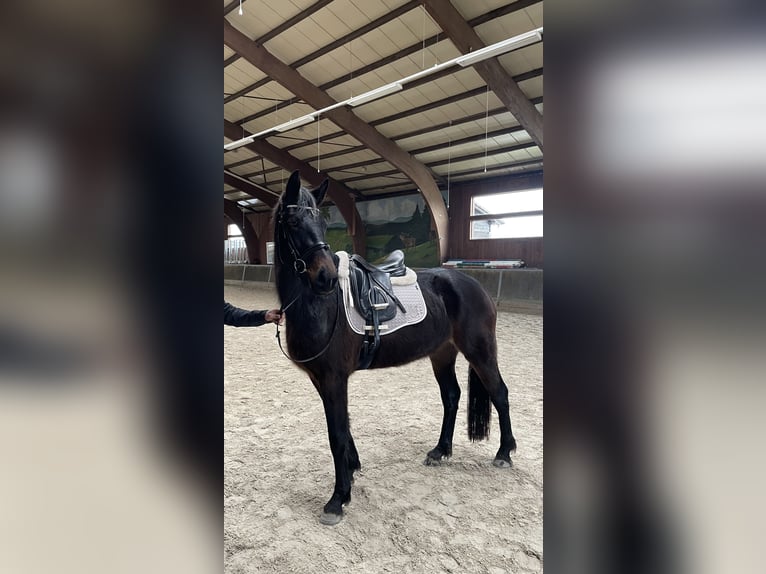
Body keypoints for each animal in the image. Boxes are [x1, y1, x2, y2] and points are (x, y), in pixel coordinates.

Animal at [273, 170, 517, 525]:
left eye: (320, 221)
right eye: (292, 221)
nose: (326, 277)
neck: (320, 306)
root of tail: (472, 284)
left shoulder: (334, 378)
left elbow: (336, 434)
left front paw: (338, 499)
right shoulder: (322, 379)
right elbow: (344, 428)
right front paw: (352, 470)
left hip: (480, 351)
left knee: (499, 393)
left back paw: (504, 453)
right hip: (442, 354)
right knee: (452, 396)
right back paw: (440, 451)